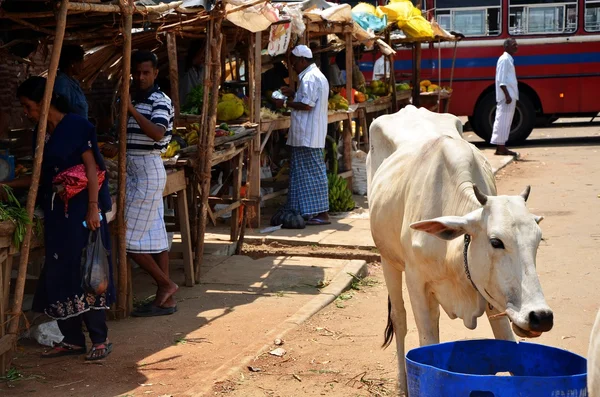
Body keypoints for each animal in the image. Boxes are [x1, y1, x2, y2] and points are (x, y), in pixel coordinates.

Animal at [366, 105, 552, 392]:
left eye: (537, 241)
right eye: (496, 241)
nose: (540, 316)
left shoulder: (492, 297)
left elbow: (508, 345)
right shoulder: (417, 284)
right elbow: (426, 341)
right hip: (388, 261)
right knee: (399, 319)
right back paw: (403, 384)